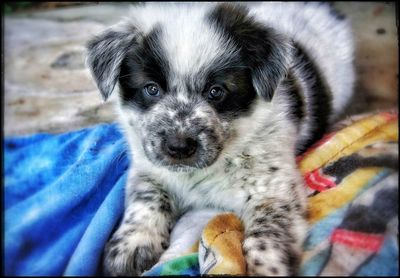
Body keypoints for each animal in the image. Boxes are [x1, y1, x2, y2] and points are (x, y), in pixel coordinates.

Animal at [85, 2, 354, 276]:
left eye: (216, 92)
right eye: (151, 89)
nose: (178, 147)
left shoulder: (274, 190)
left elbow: (266, 236)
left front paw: (266, 268)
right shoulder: (147, 166)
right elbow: (145, 198)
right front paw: (132, 244)